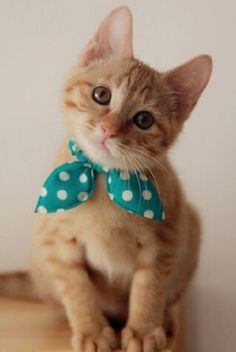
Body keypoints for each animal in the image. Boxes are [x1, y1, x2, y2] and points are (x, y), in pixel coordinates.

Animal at [0, 5, 212, 352]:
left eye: (144, 119)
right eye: (101, 94)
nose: (109, 131)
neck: (104, 179)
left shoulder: (164, 241)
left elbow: (149, 289)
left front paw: (142, 330)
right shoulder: (55, 240)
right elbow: (77, 289)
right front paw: (92, 331)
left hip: (190, 226)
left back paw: (165, 320)